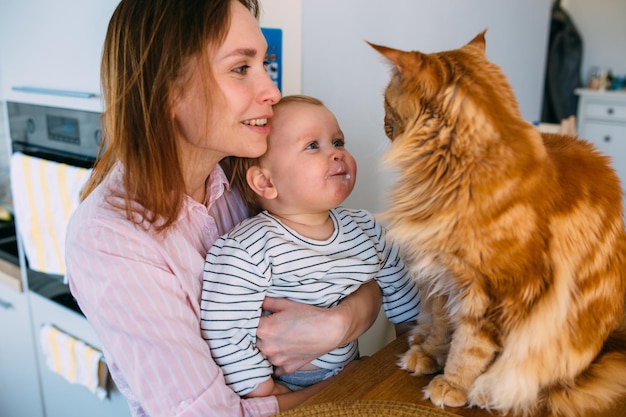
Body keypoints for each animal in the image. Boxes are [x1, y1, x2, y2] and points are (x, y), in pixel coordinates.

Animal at [368, 32, 624, 416]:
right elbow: (443, 326)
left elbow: (470, 346)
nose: (382, 123)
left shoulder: (498, 291)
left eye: (385, 100)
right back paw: (419, 339)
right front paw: (430, 353)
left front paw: (453, 384)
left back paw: (487, 391)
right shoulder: (442, 275)